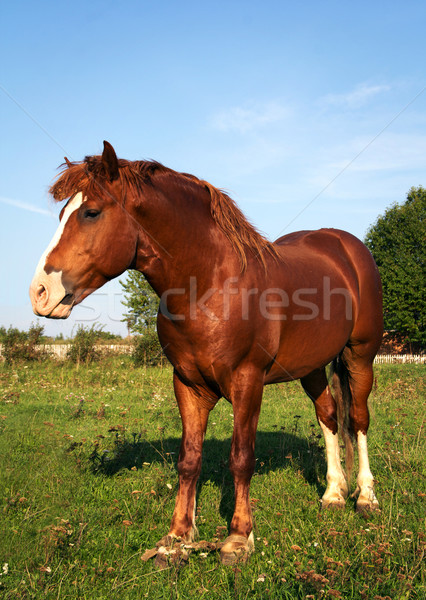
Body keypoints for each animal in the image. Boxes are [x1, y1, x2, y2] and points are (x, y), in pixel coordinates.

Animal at [30, 143, 382, 564]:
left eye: (91, 212)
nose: (40, 292)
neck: (211, 284)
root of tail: (346, 247)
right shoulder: (187, 385)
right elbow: (189, 460)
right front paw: (177, 537)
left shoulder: (248, 382)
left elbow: (241, 458)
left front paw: (238, 538)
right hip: (311, 366)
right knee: (328, 415)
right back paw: (332, 494)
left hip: (361, 355)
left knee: (357, 419)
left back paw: (365, 497)